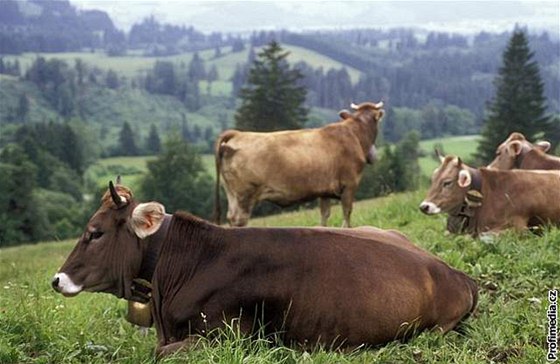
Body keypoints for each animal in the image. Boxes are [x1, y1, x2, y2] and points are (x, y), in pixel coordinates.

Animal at [214, 102, 384, 226]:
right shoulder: (350, 184)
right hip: (245, 194)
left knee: (231, 218)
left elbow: (324, 215)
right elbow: (347, 213)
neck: (355, 133)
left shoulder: (325, 191)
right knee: (239, 220)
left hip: (231, 193)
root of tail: (237, 133)